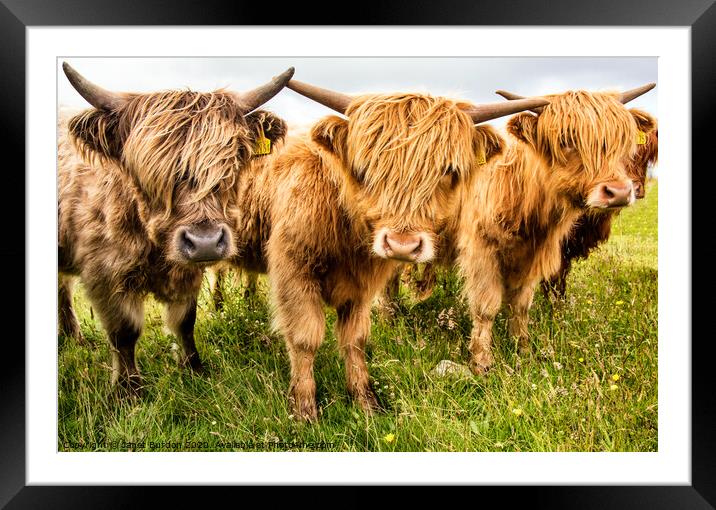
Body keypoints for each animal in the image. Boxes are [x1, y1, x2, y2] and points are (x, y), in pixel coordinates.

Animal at [456, 84, 656, 374]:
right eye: (566, 140)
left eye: (623, 141)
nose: (619, 192)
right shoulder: (481, 251)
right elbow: (486, 307)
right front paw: (481, 361)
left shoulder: (536, 256)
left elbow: (522, 305)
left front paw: (523, 349)